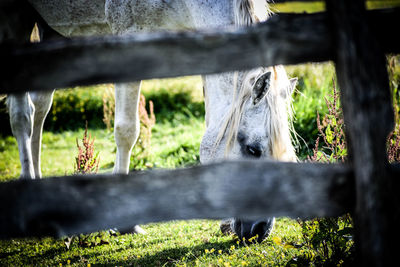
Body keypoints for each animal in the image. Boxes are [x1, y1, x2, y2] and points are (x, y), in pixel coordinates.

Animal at [6, 0, 296, 242]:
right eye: (253, 150)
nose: (261, 230)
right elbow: (127, 131)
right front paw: (125, 224)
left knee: (40, 107)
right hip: (16, 20)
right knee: (22, 114)